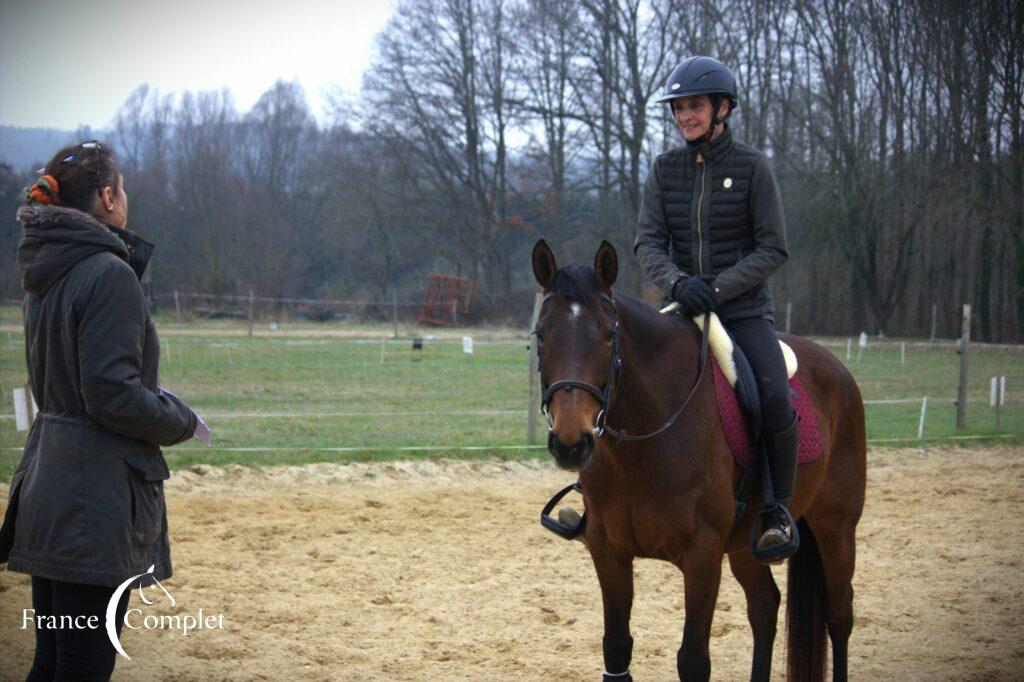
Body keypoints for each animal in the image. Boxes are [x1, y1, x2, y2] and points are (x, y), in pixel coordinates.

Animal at [536, 240, 864, 679]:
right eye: (541, 334)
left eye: (608, 335)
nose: (571, 443)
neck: (647, 439)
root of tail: (838, 370)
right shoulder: (609, 550)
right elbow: (616, 648)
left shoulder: (702, 555)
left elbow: (693, 660)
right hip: (746, 545)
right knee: (765, 607)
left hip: (836, 526)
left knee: (839, 615)